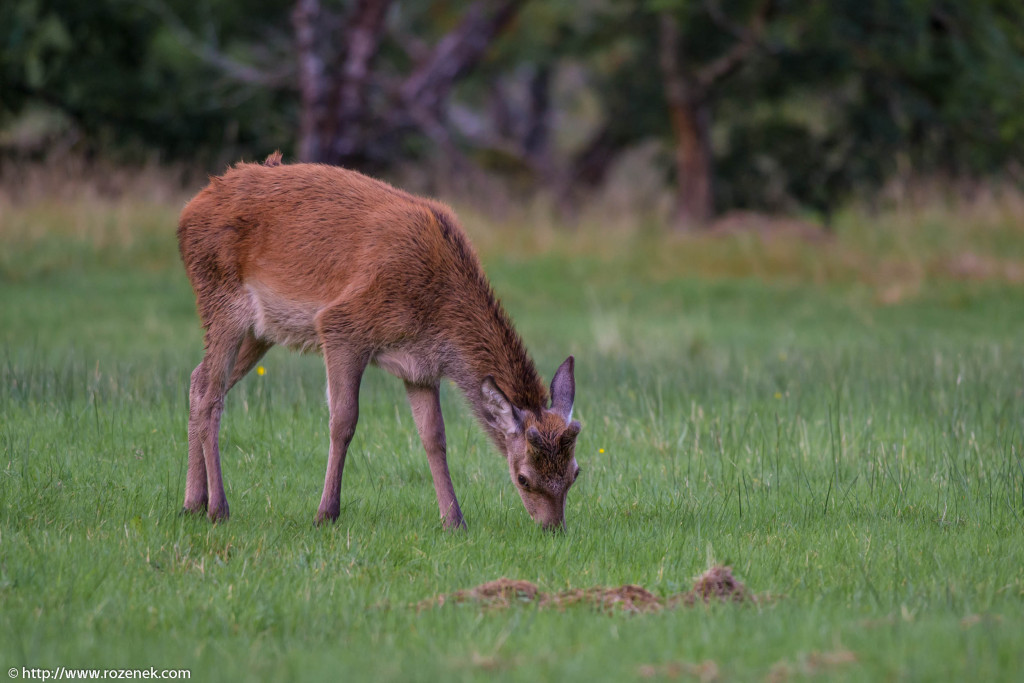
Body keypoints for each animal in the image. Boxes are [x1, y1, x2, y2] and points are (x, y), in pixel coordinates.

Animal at [175, 153, 577, 528]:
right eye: (523, 478)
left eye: (575, 473)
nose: (553, 528)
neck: (436, 313)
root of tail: (186, 213)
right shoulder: (342, 325)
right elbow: (343, 421)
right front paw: (326, 513)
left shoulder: (420, 367)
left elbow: (434, 438)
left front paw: (454, 521)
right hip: (221, 298)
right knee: (211, 393)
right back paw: (218, 508)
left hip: (261, 330)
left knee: (197, 378)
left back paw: (192, 503)